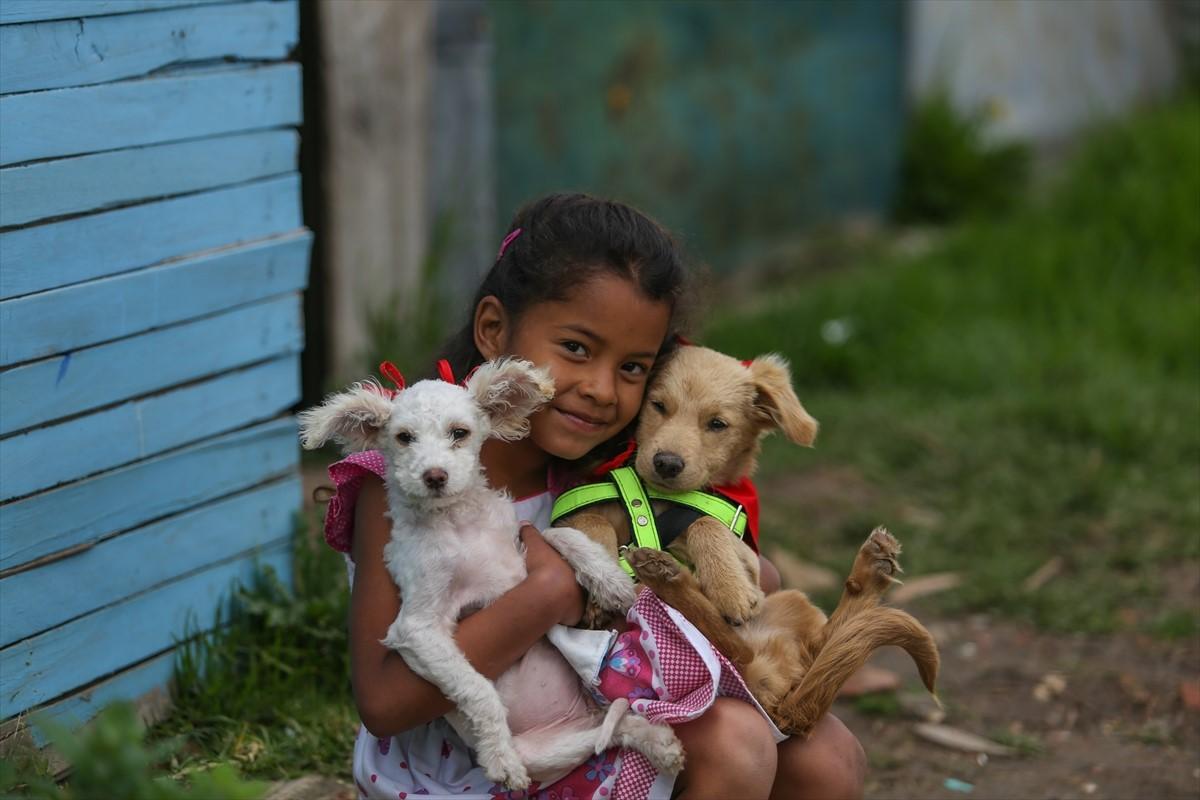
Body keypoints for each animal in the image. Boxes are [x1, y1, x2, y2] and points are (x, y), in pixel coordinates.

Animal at [300, 362, 686, 786]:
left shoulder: (519, 546)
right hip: (545, 756)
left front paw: (610, 580)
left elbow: (561, 534)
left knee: (617, 728)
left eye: (459, 433)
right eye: (403, 438)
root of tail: (582, 716)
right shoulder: (417, 628)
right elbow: (477, 689)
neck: (458, 523)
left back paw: (660, 745)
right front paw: (500, 756)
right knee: (610, 733)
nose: (434, 476)